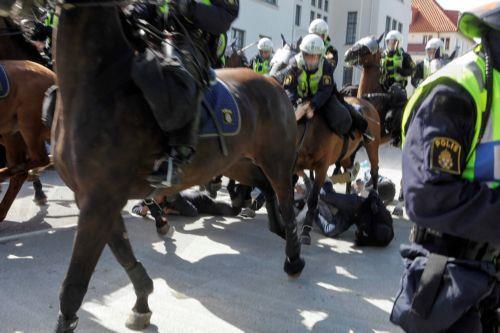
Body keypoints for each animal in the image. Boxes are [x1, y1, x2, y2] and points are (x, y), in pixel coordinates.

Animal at [43, 1, 304, 330]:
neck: (99, 83)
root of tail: (274, 83)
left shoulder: (98, 200)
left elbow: (74, 286)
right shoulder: (96, 198)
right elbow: (124, 254)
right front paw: (142, 303)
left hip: (277, 160)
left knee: (286, 200)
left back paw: (293, 257)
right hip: (238, 162)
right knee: (266, 189)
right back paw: (273, 226)